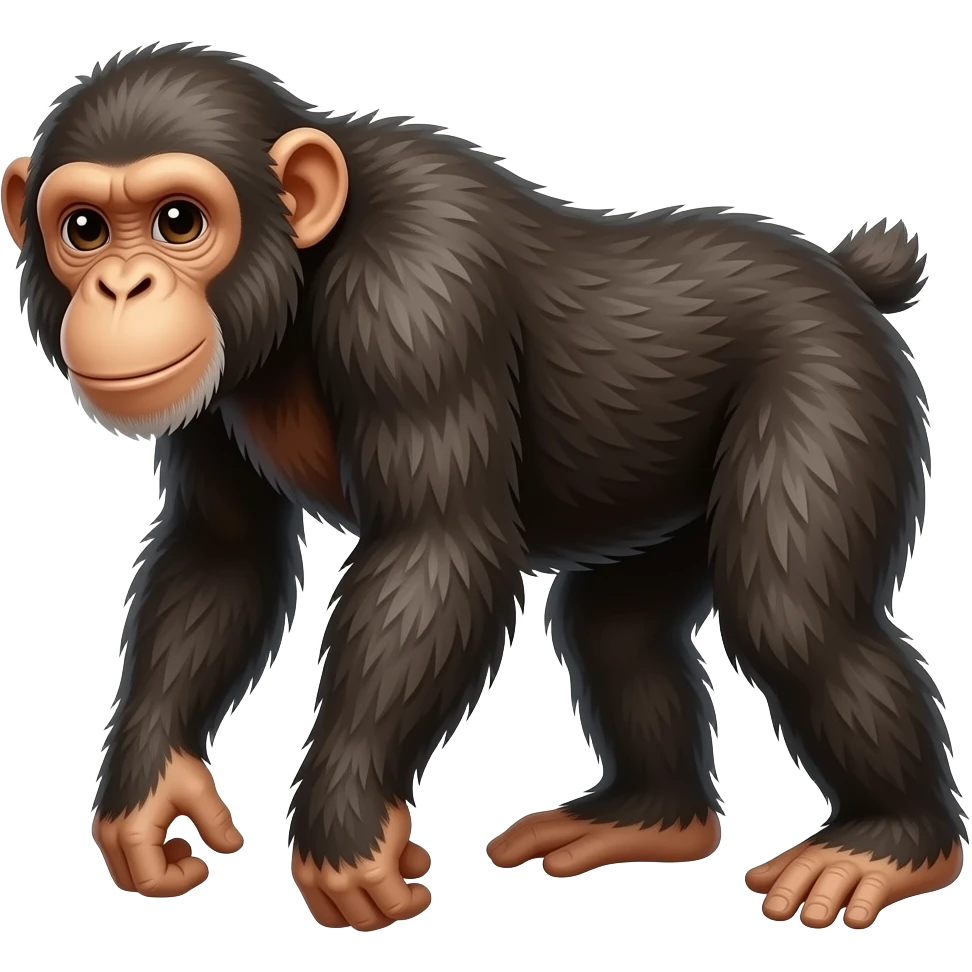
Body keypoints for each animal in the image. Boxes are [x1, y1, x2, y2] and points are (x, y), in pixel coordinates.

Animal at [1, 41, 964, 934]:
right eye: (84, 229)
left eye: (178, 220)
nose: (123, 286)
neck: (303, 272)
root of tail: (847, 275)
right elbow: (221, 548)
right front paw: (149, 797)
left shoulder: (416, 300)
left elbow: (435, 545)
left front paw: (346, 829)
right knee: (614, 630)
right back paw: (647, 818)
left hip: (831, 386)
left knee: (796, 619)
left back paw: (889, 842)